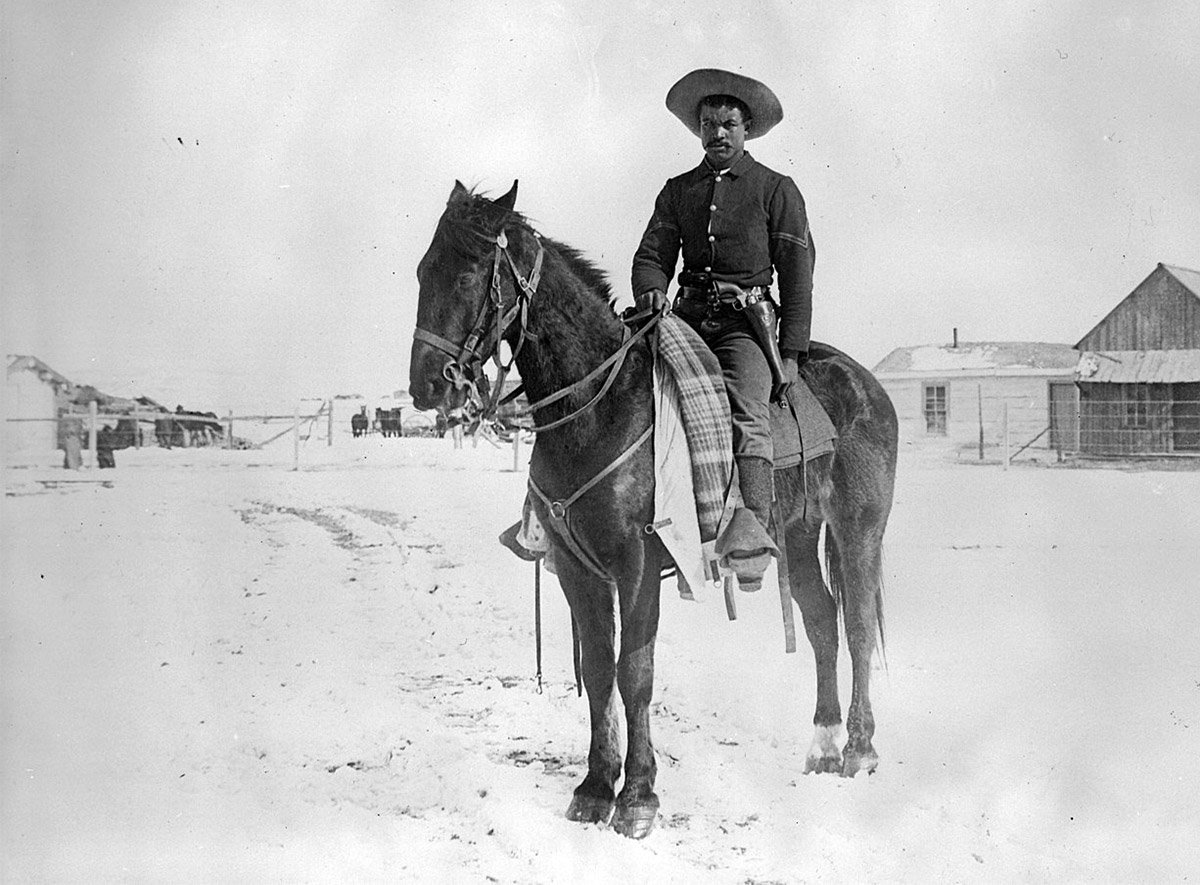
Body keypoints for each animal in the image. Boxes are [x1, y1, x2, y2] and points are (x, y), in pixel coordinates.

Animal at [408, 179, 897, 834]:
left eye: (465, 275)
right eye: (422, 272)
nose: (426, 386)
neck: (600, 404)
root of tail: (865, 383)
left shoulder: (637, 566)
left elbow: (634, 674)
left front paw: (638, 796)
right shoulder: (577, 570)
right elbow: (597, 670)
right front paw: (594, 788)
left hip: (858, 531)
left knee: (859, 625)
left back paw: (860, 750)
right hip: (795, 536)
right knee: (822, 623)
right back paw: (822, 745)